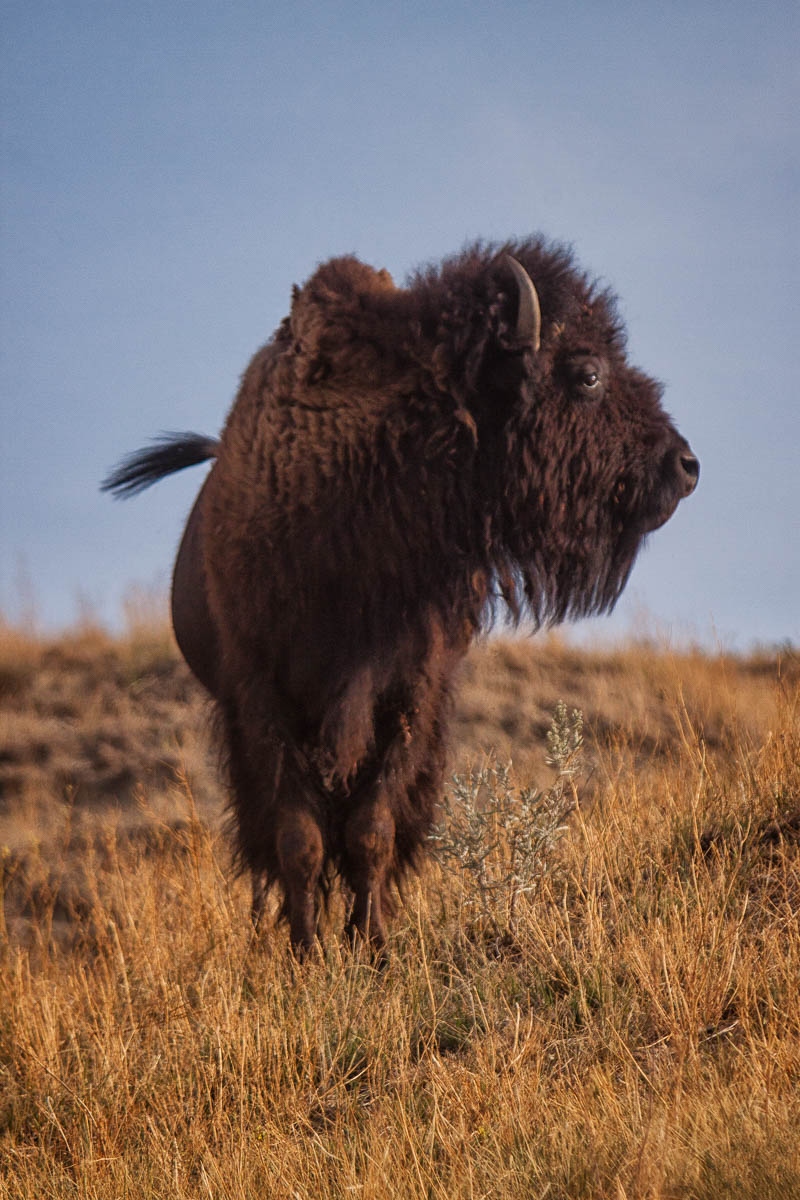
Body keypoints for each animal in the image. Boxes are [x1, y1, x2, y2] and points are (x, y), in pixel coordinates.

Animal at [103, 239, 699, 953]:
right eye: (587, 375)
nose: (685, 465)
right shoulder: (262, 699)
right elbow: (298, 836)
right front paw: (307, 951)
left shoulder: (410, 693)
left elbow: (372, 827)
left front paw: (374, 945)